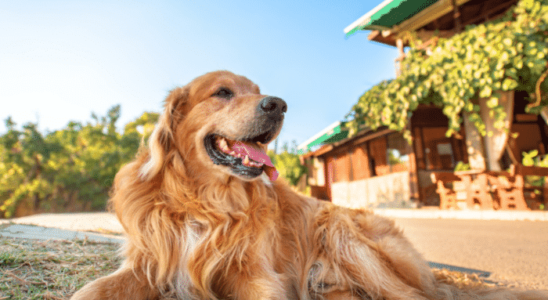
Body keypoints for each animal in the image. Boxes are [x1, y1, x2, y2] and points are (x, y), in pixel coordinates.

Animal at [70, 71, 544, 300]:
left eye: (258, 89)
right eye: (222, 92)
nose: (278, 104)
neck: (204, 202)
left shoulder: (257, 277)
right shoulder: (148, 264)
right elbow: (89, 291)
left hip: (339, 228)